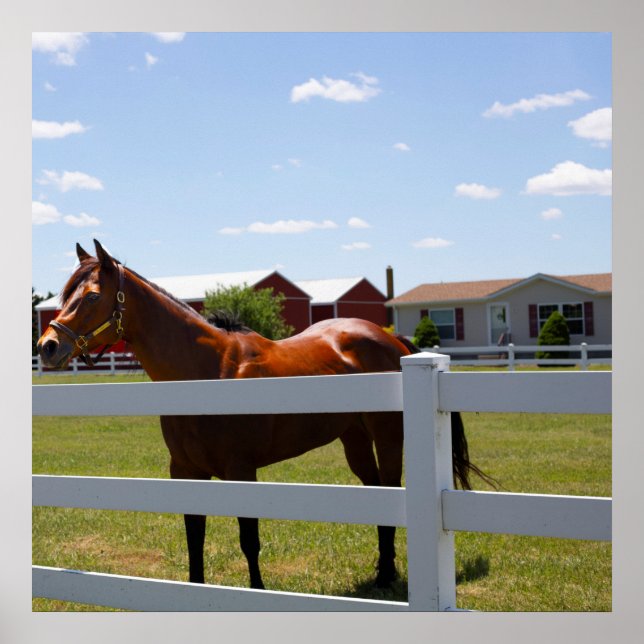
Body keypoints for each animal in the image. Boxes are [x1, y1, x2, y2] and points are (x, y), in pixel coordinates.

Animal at [37, 239, 491, 590]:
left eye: (91, 296)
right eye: (63, 296)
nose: (47, 346)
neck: (206, 372)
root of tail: (389, 338)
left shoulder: (242, 470)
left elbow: (248, 538)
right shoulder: (185, 471)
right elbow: (194, 536)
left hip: (388, 436)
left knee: (391, 490)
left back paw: (386, 576)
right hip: (355, 440)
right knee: (377, 493)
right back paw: (382, 573)